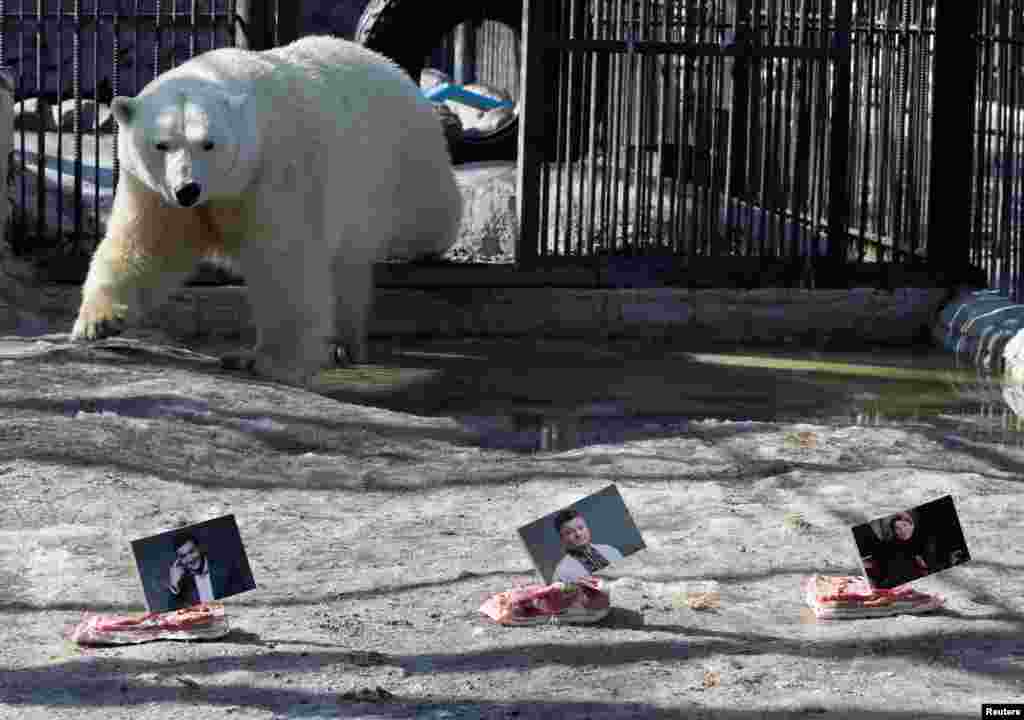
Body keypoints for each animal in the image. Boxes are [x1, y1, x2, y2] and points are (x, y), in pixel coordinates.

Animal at [74, 36, 466, 385]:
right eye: (162, 144)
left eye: (208, 143)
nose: (188, 189)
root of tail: (393, 69)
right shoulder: (153, 191)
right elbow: (147, 245)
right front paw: (97, 323)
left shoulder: (274, 171)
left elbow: (283, 260)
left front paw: (270, 362)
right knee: (347, 267)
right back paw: (343, 344)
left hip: (401, 163)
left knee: (430, 217)